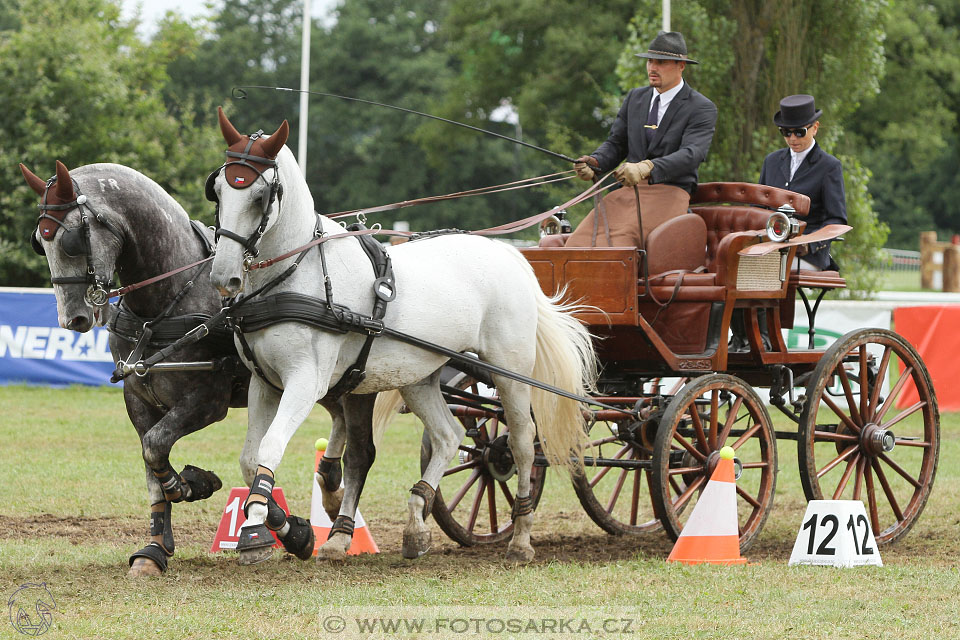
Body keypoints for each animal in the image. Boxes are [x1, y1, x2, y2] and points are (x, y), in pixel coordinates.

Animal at [19, 160, 364, 576]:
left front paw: (193, 486)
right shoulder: (137, 398)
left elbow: (156, 446)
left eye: (71, 240)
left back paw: (341, 521)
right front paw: (155, 547)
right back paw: (330, 487)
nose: (73, 319)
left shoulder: (206, 401)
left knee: (359, 449)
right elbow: (151, 463)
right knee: (339, 423)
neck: (164, 303)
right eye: (39, 241)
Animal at [209, 107, 596, 564]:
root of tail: (508, 254)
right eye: (218, 190)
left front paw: (257, 531)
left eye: (260, 197)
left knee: (520, 442)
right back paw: (416, 522)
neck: (297, 275)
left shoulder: (305, 382)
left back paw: (520, 537)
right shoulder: (264, 383)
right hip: (419, 375)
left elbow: (270, 449)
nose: (224, 277)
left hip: (510, 372)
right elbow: (251, 459)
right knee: (448, 436)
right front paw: (293, 531)